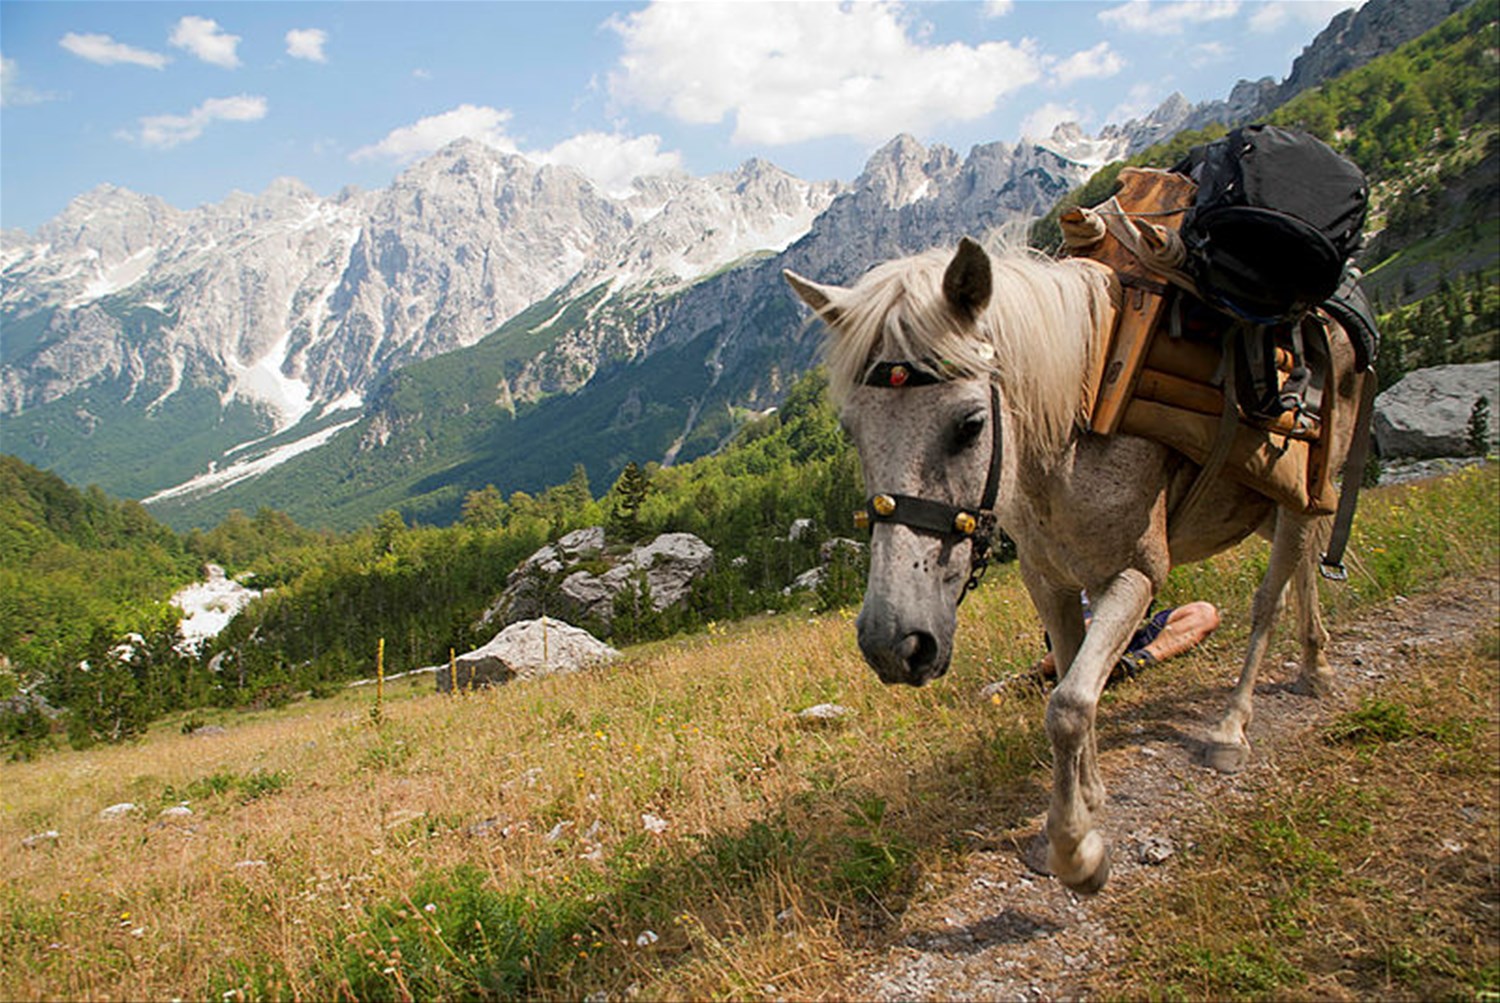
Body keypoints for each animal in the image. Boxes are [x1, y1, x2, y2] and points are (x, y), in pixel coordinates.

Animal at [786, 236, 1374, 893]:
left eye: (970, 425)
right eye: (852, 431)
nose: (893, 644)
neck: (1072, 434)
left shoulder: (1136, 576)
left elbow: (1067, 706)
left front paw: (1076, 848)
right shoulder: (1050, 584)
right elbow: (1073, 678)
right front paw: (1088, 798)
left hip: (1303, 491)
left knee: (1270, 597)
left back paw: (1231, 728)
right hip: (1268, 506)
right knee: (1302, 569)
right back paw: (1315, 666)